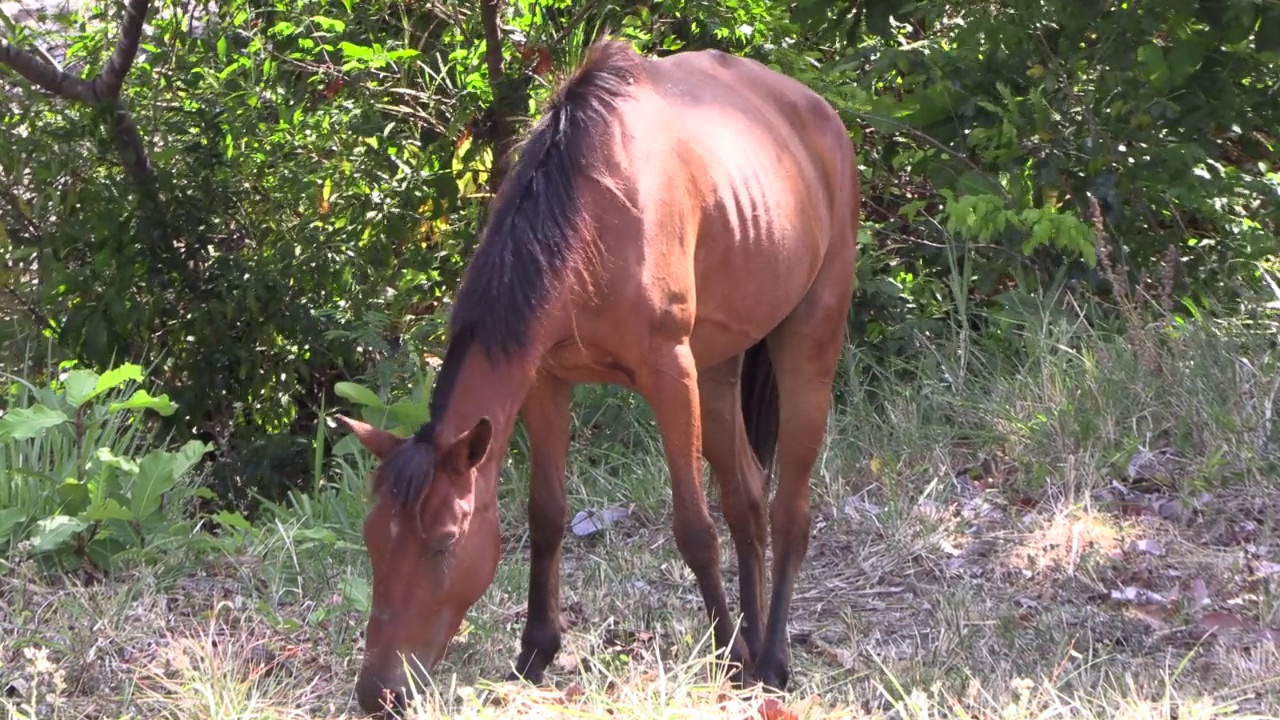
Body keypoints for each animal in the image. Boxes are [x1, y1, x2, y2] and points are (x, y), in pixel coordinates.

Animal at [340, 37, 860, 712]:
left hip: (808, 345)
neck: (585, 217)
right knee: (747, 499)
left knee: (789, 510)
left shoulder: (671, 374)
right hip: (720, 369)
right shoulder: (544, 379)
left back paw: (768, 658)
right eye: (373, 540)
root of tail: (823, 115)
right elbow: (546, 514)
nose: (378, 693)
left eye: (445, 543)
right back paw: (752, 644)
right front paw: (535, 651)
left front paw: (726, 657)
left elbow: (694, 530)